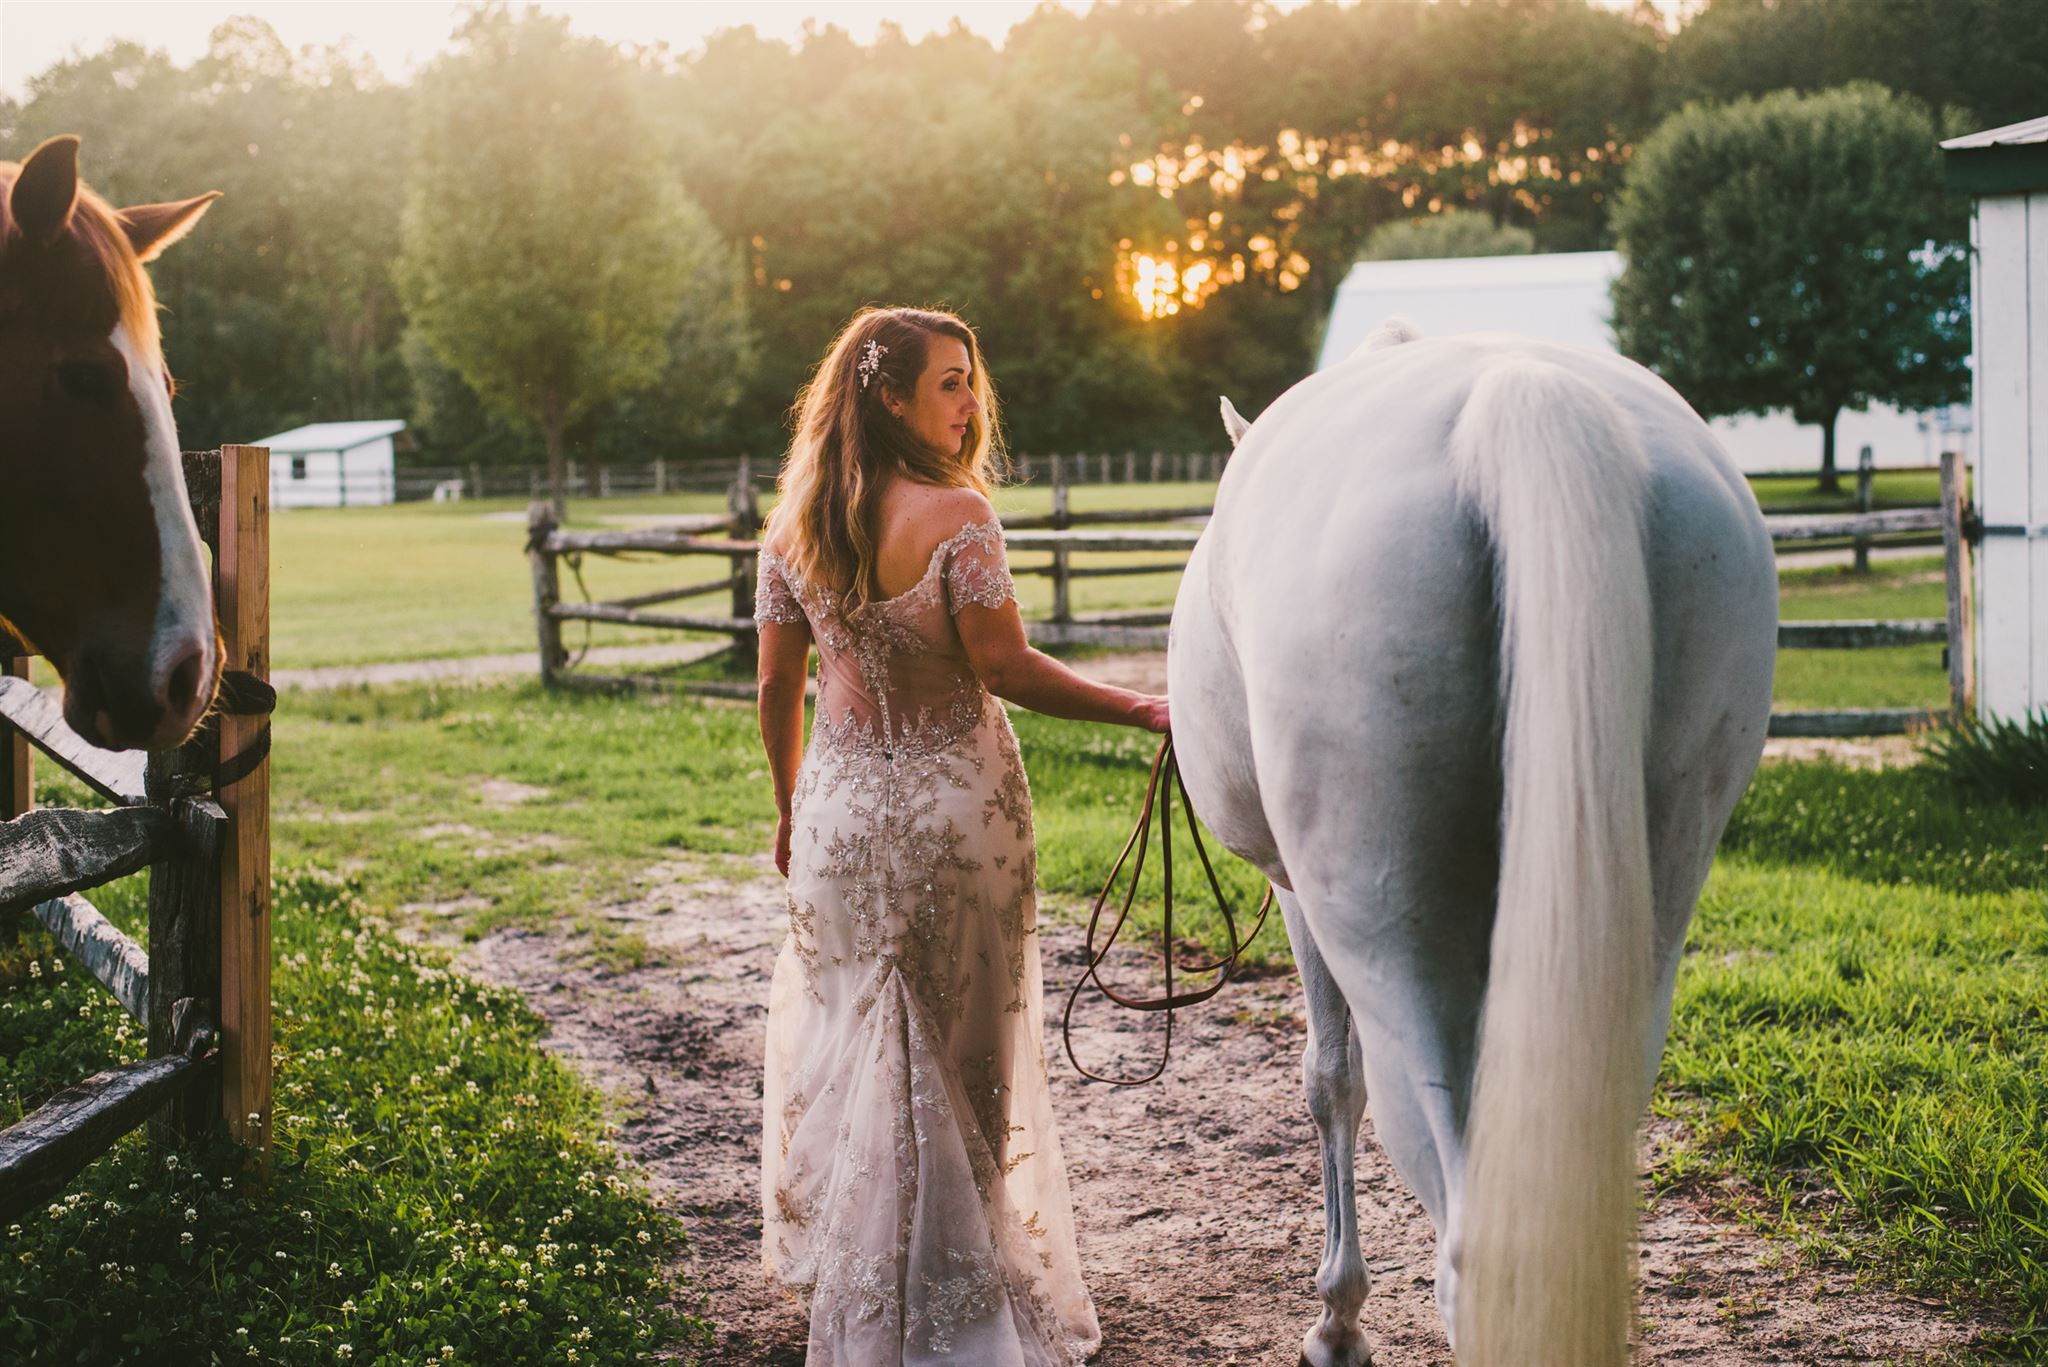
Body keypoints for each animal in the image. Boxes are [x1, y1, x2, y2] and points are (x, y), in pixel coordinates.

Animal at [1179, 323, 1785, 1367]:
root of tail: (1522, 397)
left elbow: (1329, 1081)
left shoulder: (1301, 900)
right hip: (1644, 924)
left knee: (1466, 1244)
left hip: (1389, 944)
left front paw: (1338, 1322)